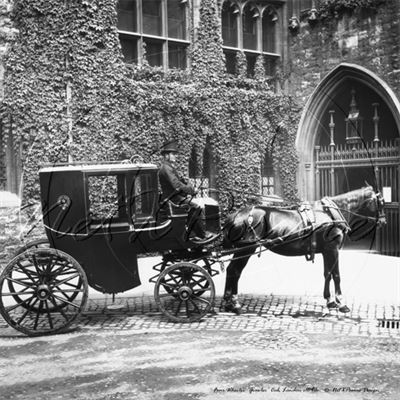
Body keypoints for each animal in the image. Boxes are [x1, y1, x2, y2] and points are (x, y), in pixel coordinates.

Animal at [223, 186, 386, 314]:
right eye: (381, 202)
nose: (384, 222)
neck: (330, 214)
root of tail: (236, 214)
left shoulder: (326, 251)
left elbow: (327, 274)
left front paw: (330, 301)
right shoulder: (333, 250)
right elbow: (336, 275)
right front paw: (341, 303)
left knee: (232, 271)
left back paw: (229, 302)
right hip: (245, 249)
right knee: (234, 271)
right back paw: (234, 303)